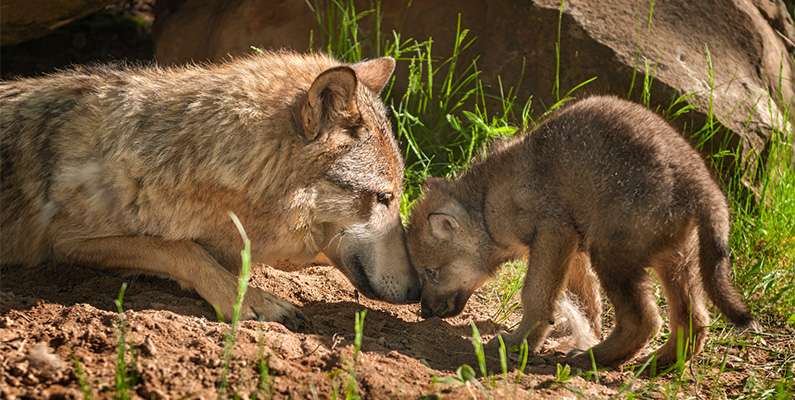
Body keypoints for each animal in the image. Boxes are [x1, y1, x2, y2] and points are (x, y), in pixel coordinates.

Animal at [0, 51, 422, 330]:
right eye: (383, 197)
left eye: (396, 197)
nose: (417, 290)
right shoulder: (67, 242)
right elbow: (180, 248)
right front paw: (252, 300)